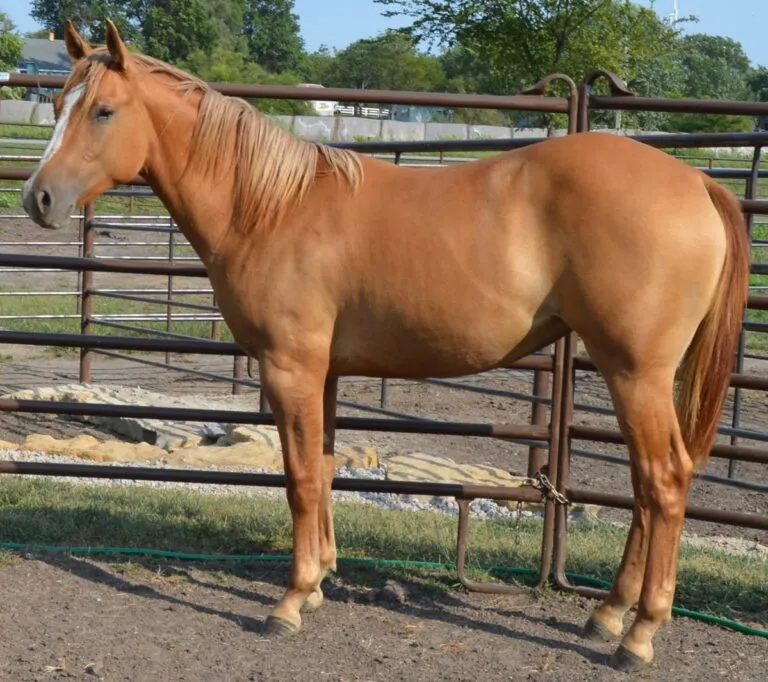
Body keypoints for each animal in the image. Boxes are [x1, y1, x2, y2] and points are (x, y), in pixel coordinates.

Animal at [20, 19, 750, 673]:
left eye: (104, 111)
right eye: (56, 108)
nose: (37, 199)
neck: (270, 207)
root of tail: (696, 182)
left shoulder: (290, 368)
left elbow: (298, 478)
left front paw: (290, 601)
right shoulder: (324, 373)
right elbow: (323, 467)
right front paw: (319, 583)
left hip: (635, 372)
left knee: (665, 481)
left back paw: (639, 635)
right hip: (636, 377)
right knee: (647, 488)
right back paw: (607, 616)